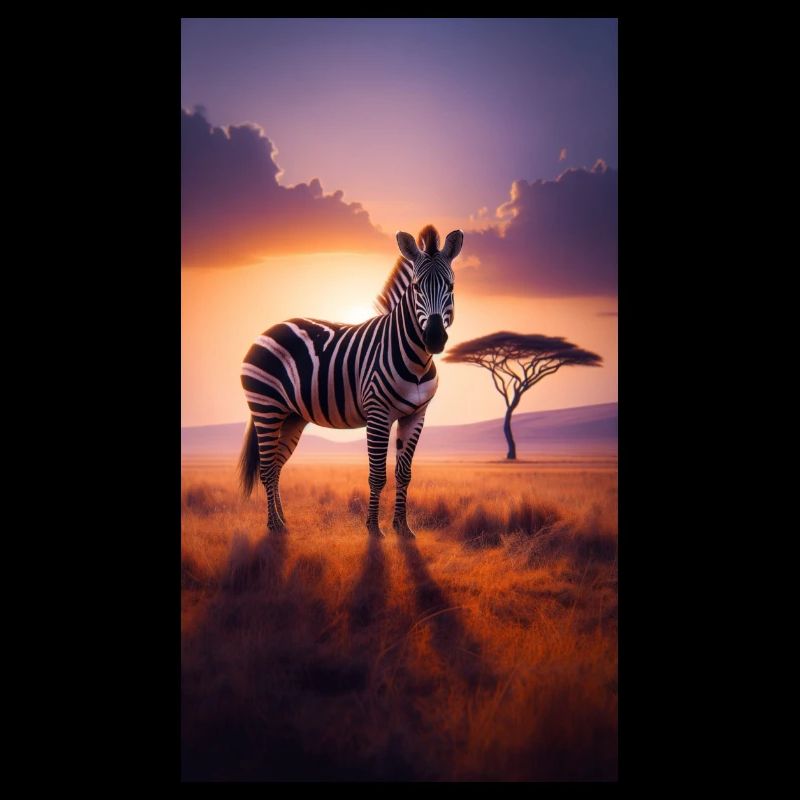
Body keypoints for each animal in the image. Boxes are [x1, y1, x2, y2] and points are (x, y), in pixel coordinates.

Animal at [239, 224, 463, 538]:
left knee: (277, 466)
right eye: (417, 286)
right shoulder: (378, 413)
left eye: (451, 287)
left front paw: (402, 528)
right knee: (267, 468)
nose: (434, 338)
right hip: (266, 408)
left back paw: (283, 522)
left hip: (291, 416)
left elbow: (404, 474)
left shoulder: (416, 415)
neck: (417, 359)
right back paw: (274, 526)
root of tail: (269, 330)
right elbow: (377, 475)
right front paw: (374, 529)